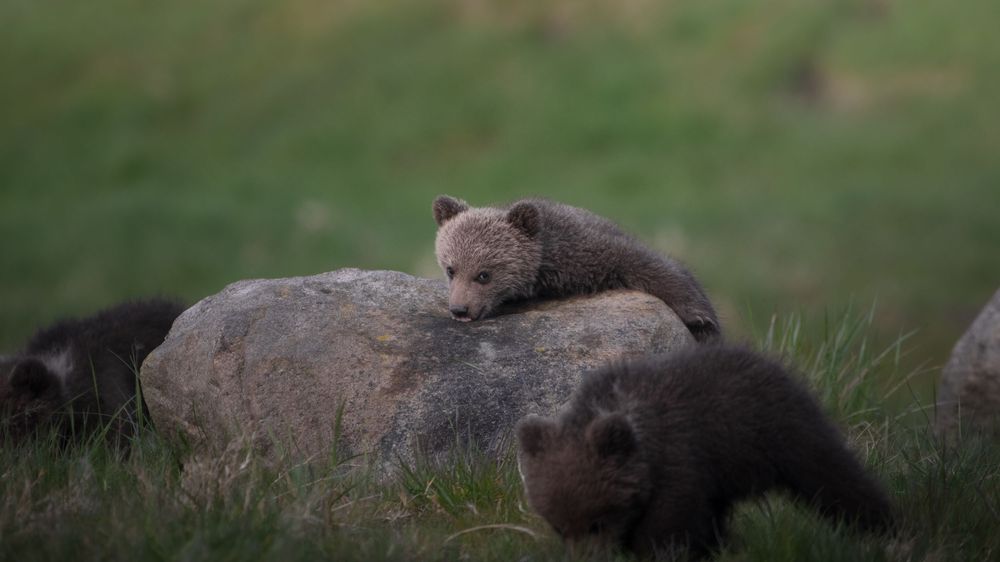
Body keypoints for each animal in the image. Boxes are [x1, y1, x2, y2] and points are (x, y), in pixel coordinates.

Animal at [432, 195, 720, 342]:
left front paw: (700, 319)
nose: (460, 309)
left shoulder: (587, 248)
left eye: (484, 274)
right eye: (450, 269)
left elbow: (646, 262)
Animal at [516, 345, 892, 559]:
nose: (586, 558)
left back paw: (882, 527)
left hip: (781, 433)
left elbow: (668, 530)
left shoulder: (679, 462)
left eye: (597, 522)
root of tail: (771, 362)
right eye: (559, 528)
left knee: (832, 474)